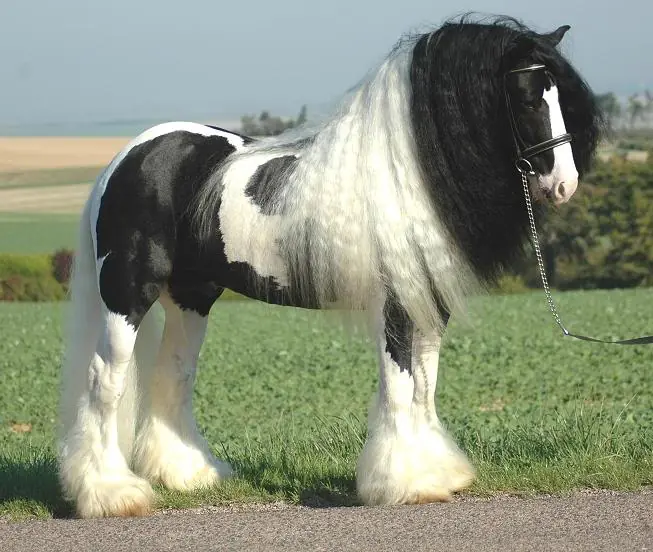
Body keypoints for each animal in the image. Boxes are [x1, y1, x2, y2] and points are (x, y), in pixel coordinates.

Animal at [58, 16, 601, 518]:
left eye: (559, 94)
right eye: (528, 97)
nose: (564, 184)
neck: (402, 178)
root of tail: (129, 156)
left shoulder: (429, 305)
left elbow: (424, 387)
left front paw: (437, 472)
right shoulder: (396, 307)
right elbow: (400, 387)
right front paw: (403, 484)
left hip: (192, 297)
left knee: (174, 374)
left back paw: (188, 476)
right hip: (128, 293)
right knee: (105, 381)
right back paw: (111, 494)